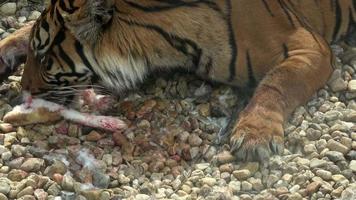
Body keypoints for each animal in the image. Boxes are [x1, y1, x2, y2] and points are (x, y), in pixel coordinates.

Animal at [0, 0, 354, 162]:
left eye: (45, 58)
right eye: (35, 53)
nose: (24, 90)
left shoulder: (308, 44)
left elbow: (277, 82)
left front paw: (255, 135)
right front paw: (7, 48)